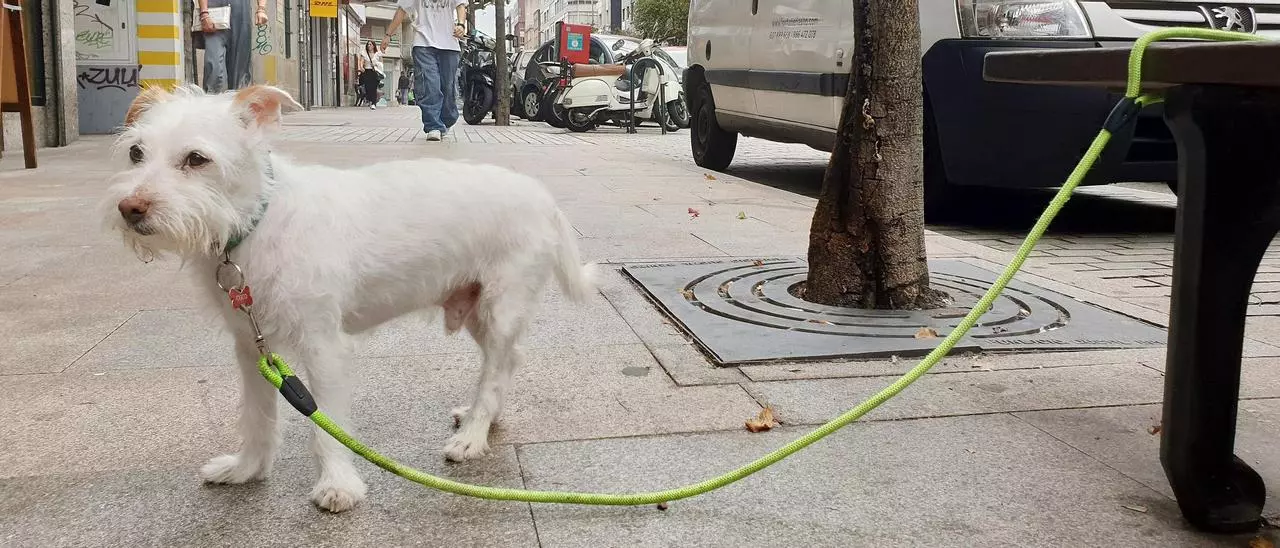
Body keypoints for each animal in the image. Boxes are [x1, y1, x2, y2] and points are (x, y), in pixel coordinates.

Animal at [102, 83, 596, 512]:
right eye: (136, 152)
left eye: (196, 159)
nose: (130, 208)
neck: (258, 221)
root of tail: (544, 198)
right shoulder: (252, 347)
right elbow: (257, 416)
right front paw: (247, 468)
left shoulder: (323, 345)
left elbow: (327, 424)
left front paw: (338, 485)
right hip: (477, 308)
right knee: (509, 359)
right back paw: (485, 418)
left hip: (500, 305)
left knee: (495, 369)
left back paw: (473, 436)